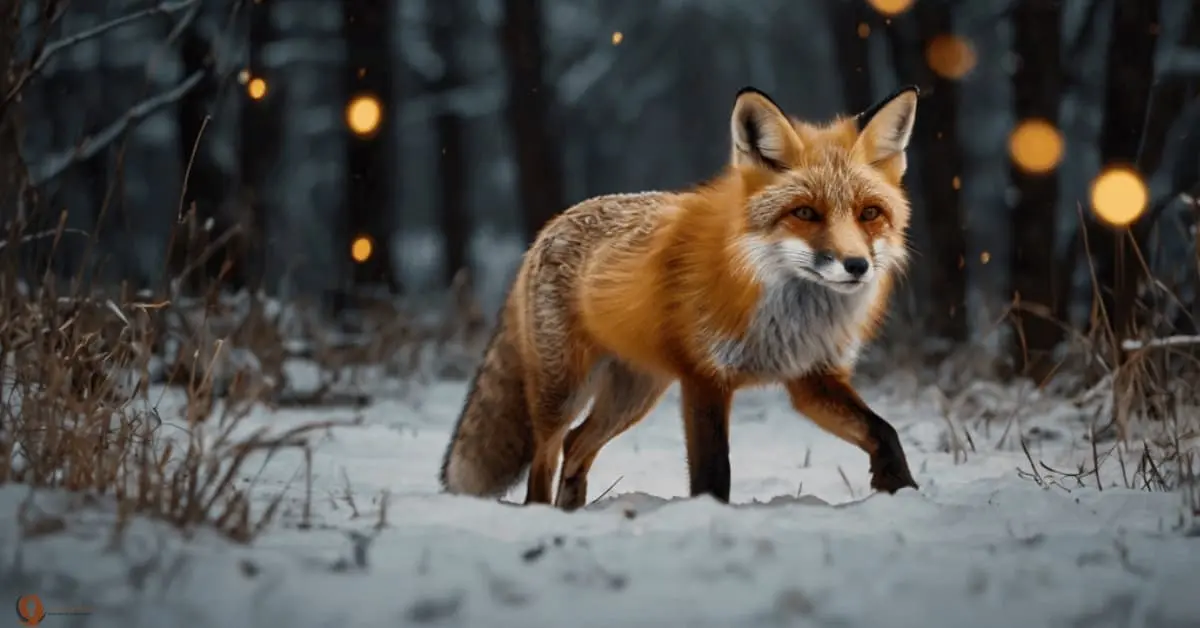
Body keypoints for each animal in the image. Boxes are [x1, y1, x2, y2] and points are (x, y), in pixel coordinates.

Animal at [439, 85, 921, 510]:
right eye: (805, 213)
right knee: (547, 457)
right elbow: (713, 473)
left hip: (634, 395)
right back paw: (544, 514)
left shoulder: (812, 377)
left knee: (577, 444)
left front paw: (901, 489)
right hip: (563, 391)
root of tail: (547, 228)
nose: (856, 265)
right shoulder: (704, 378)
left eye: (870, 213)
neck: (787, 313)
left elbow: (884, 432)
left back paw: (572, 511)